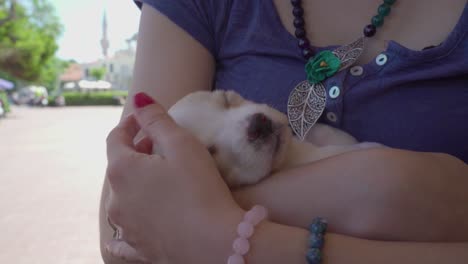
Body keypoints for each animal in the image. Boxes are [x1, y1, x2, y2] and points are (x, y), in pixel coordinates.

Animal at [108, 89, 382, 260]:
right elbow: (334, 151)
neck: (288, 157)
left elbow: (329, 136)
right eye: (209, 151)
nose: (258, 124)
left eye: (227, 99)